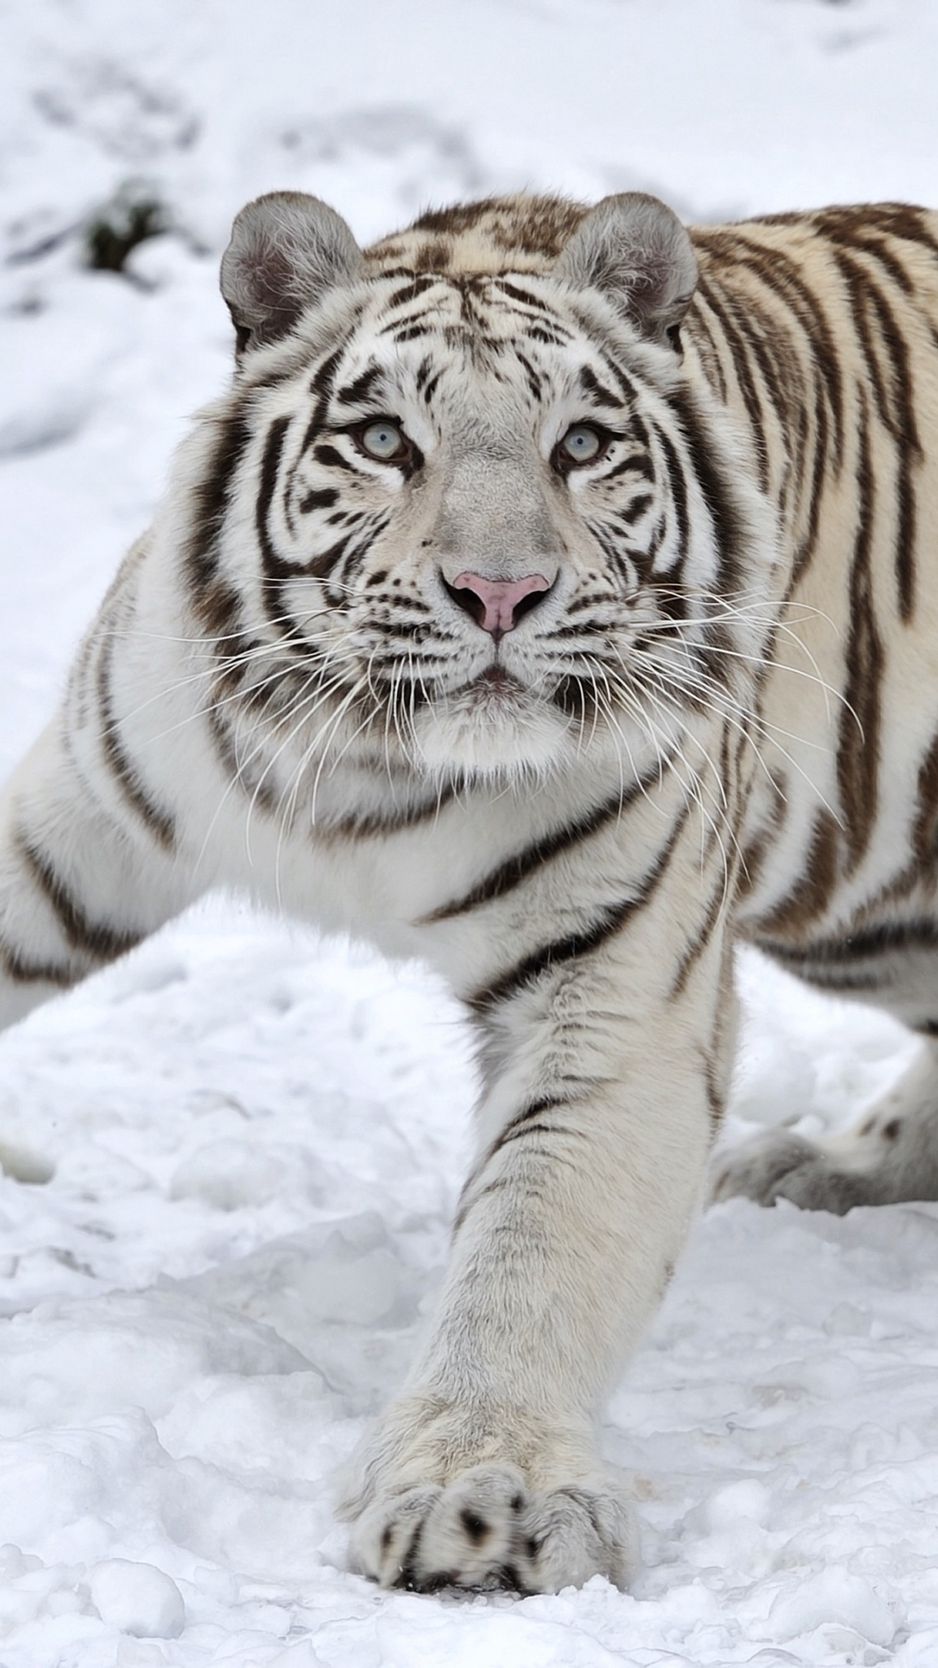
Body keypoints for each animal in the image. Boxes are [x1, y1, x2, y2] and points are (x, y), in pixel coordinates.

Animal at [2, 184, 938, 1595]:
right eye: (386, 439)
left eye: (581, 444)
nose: (500, 592)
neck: (366, 771)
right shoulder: (81, 821)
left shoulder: (612, 997)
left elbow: (528, 1254)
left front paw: (481, 1497)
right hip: (859, 908)